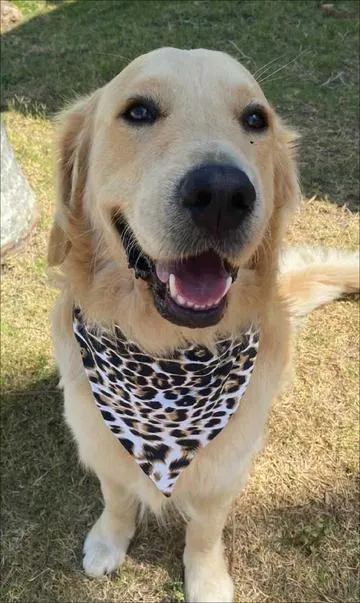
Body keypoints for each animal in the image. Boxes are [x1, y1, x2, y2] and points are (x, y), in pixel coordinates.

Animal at [47, 48, 358, 603]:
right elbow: (117, 494)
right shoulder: (99, 437)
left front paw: (207, 578)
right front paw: (109, 541)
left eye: (255, 119)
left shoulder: (224, 470)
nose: (221, 193)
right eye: (139, 111)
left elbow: (205, 529)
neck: (168, 354)